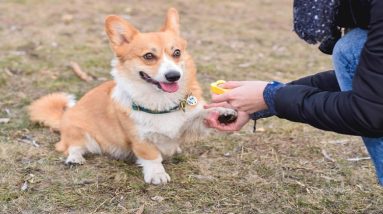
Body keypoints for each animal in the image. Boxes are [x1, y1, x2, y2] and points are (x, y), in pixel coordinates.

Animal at [28, 8, 237, 184]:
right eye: (149, 56)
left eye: (177, 52)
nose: (173, 76)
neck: (160, 101)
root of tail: (63, 116)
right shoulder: (140, 139)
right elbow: (152, 156)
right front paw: (157, 174)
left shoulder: (188, 123)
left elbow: (202, 114)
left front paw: (222, 112)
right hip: (80, 132)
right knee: (72, 146)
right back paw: (75, 158)